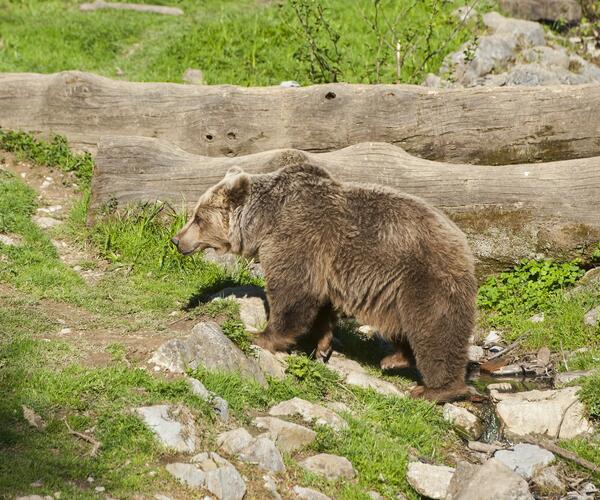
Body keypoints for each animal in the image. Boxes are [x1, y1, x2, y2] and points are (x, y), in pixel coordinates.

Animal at [171, 163, 476, 402]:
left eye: (197, 217)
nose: (176, 239)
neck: (263, 223)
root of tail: (463, 244)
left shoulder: (297, 237)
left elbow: (292, 292)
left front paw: (261, 335)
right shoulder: (322, 264)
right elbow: (319, 304)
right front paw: (322, 345)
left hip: (424, 279)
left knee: (435, 330)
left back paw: (435, 389)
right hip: (396, 292)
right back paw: (394, 359)